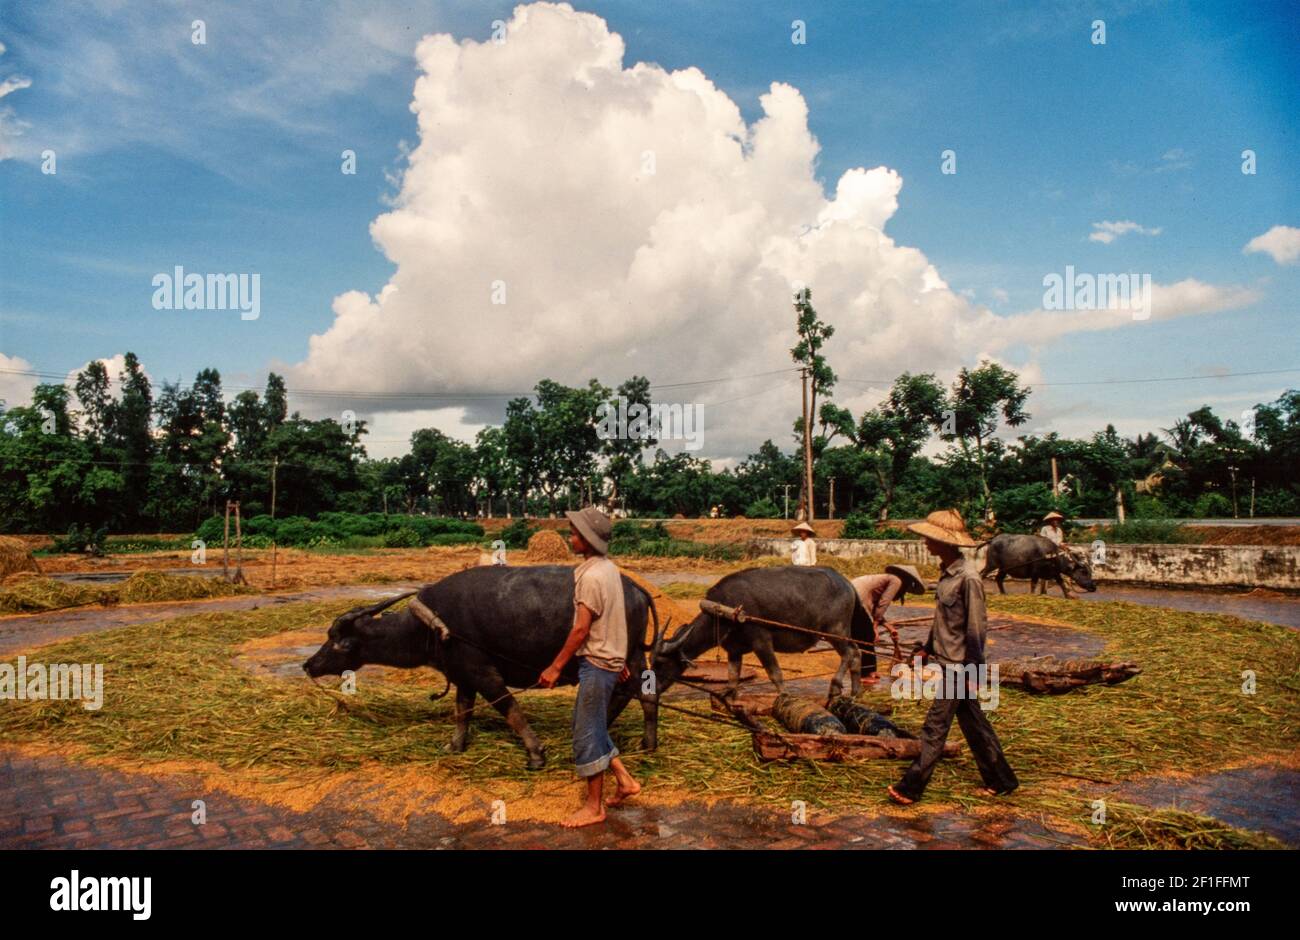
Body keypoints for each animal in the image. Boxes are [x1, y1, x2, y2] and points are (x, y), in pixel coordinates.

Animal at [302, 566, 660, 769]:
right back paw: (644, 742)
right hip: (632, 658)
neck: (432, 626)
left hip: (620, 656)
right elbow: (463, 711)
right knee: (643, 694)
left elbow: (510, 709)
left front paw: (535, 753)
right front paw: (455, 745)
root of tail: (636, 588)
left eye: (336, 640)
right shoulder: (463, 676)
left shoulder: (482, 673)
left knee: (632, 693)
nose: (308, 664)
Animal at [650, 566, 873, 707]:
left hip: (836, 631)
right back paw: (856, 692)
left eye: (660, 663)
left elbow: (775, 673)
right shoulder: (734, 649)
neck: (723, 610)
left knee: (848, 654)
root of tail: (848, 584)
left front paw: (784, 695)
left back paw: (835, 687)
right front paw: (728, 695)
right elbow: (733, 675)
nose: (650, 689)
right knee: (857, 653)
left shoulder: (761, 642)